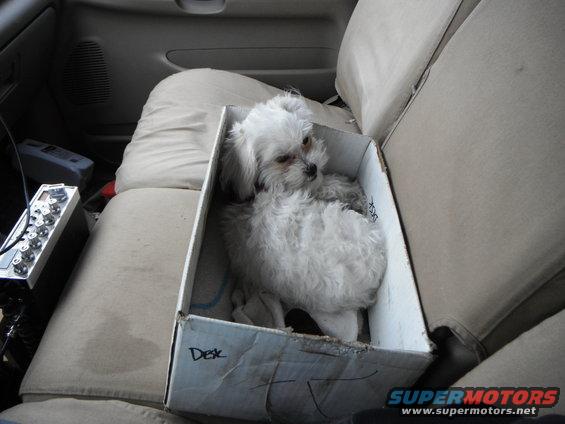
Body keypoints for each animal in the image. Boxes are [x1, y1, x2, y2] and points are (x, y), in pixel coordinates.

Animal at [220, 93, 388, 342]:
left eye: (306, 140)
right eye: (282, 158)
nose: (312, 168)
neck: (261, 187)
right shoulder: (311, 189)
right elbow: (329, 184)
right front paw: (352, 190)